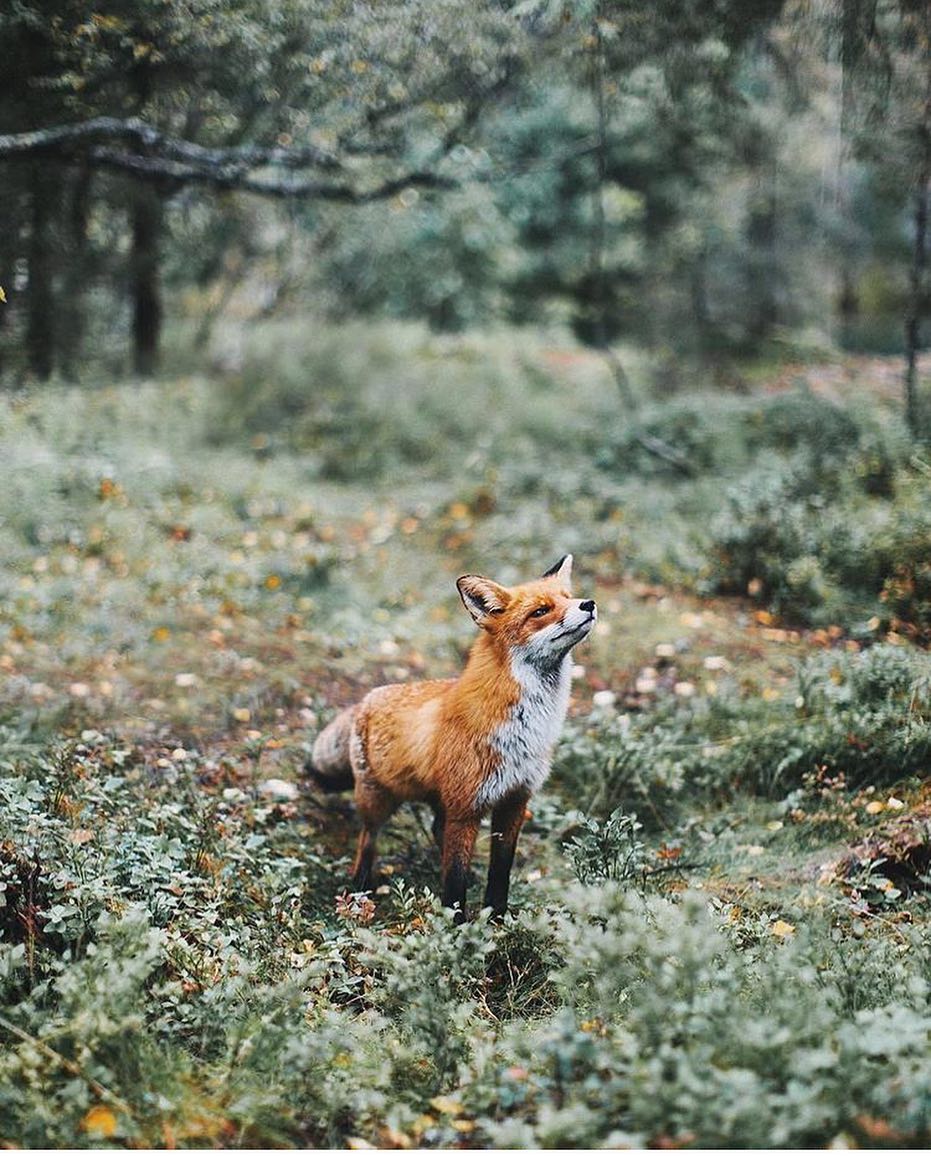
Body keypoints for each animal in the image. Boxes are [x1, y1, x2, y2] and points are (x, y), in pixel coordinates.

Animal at [305, 554, 596, 915]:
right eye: (541, 611)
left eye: (568, 598)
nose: (588, 603)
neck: (525, 730)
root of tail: (366, 699)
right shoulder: (465, 809)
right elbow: (454, 884)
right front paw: (457, 925)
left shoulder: (514, 801)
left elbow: (499, 874)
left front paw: (497, 919)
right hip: (376, 800)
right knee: (367, 840)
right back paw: (360, 888)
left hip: (437, 800)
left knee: (433, 829)